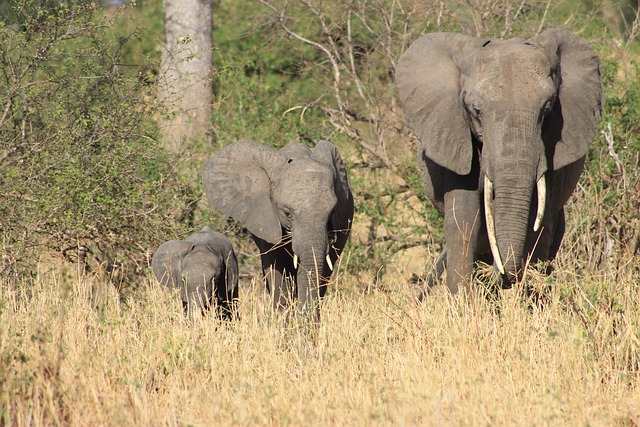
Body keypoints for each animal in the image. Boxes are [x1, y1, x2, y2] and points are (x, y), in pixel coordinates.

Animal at [396, 28, 604, 292]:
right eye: (476, 110)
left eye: (547, 109)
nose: (502, 275)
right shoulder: (455, 136)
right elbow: (465, 218)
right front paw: (462, 300)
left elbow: (540, 221)